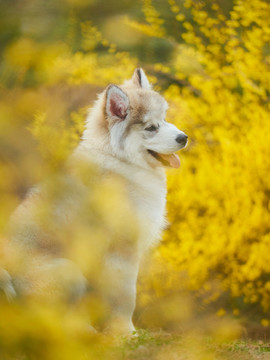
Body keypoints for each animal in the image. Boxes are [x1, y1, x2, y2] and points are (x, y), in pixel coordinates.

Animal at [2, 68, 188, 334]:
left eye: (164, 119)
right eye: (151, 127)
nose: (184, 137)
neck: (119, 160)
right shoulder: (122, 250)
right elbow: (125, 297)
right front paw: (125, 332)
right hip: (68, 272)